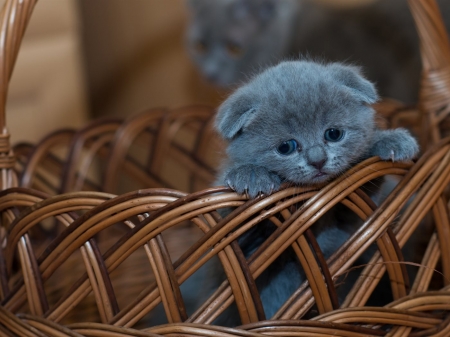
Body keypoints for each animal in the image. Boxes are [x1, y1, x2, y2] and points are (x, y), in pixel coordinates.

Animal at [214, 59, 418, 320]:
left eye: (333, 133)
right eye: (286, 147)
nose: (317, 160)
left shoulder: (350, 221)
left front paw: (387, 140)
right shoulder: (247, 253)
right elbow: (234, 228)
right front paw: (250, 174)